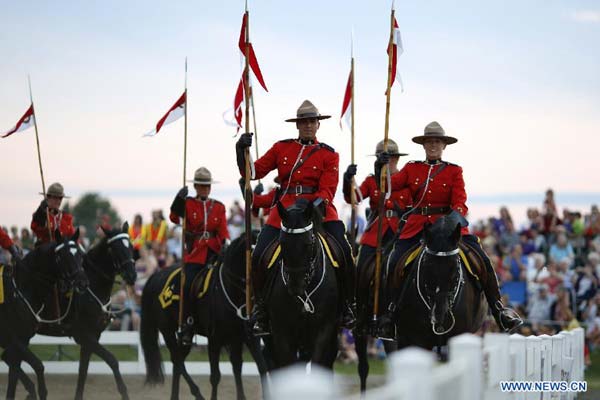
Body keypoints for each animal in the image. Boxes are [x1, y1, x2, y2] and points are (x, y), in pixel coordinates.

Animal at [0, 230, 88, 400]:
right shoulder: (14, 339)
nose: (82, 283)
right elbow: (38, 366)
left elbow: (14, 376)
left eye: (80, 254)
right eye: (63, 256)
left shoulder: (23, 339)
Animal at [141, 234, 268, 400]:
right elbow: (215, 376)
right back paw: (195, 393)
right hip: (167, 330)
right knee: (177, 360)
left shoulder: (245, 338)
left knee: (178, 361)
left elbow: (255, 367)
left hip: (185, 337)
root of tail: (156, 276)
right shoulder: (215, 339)